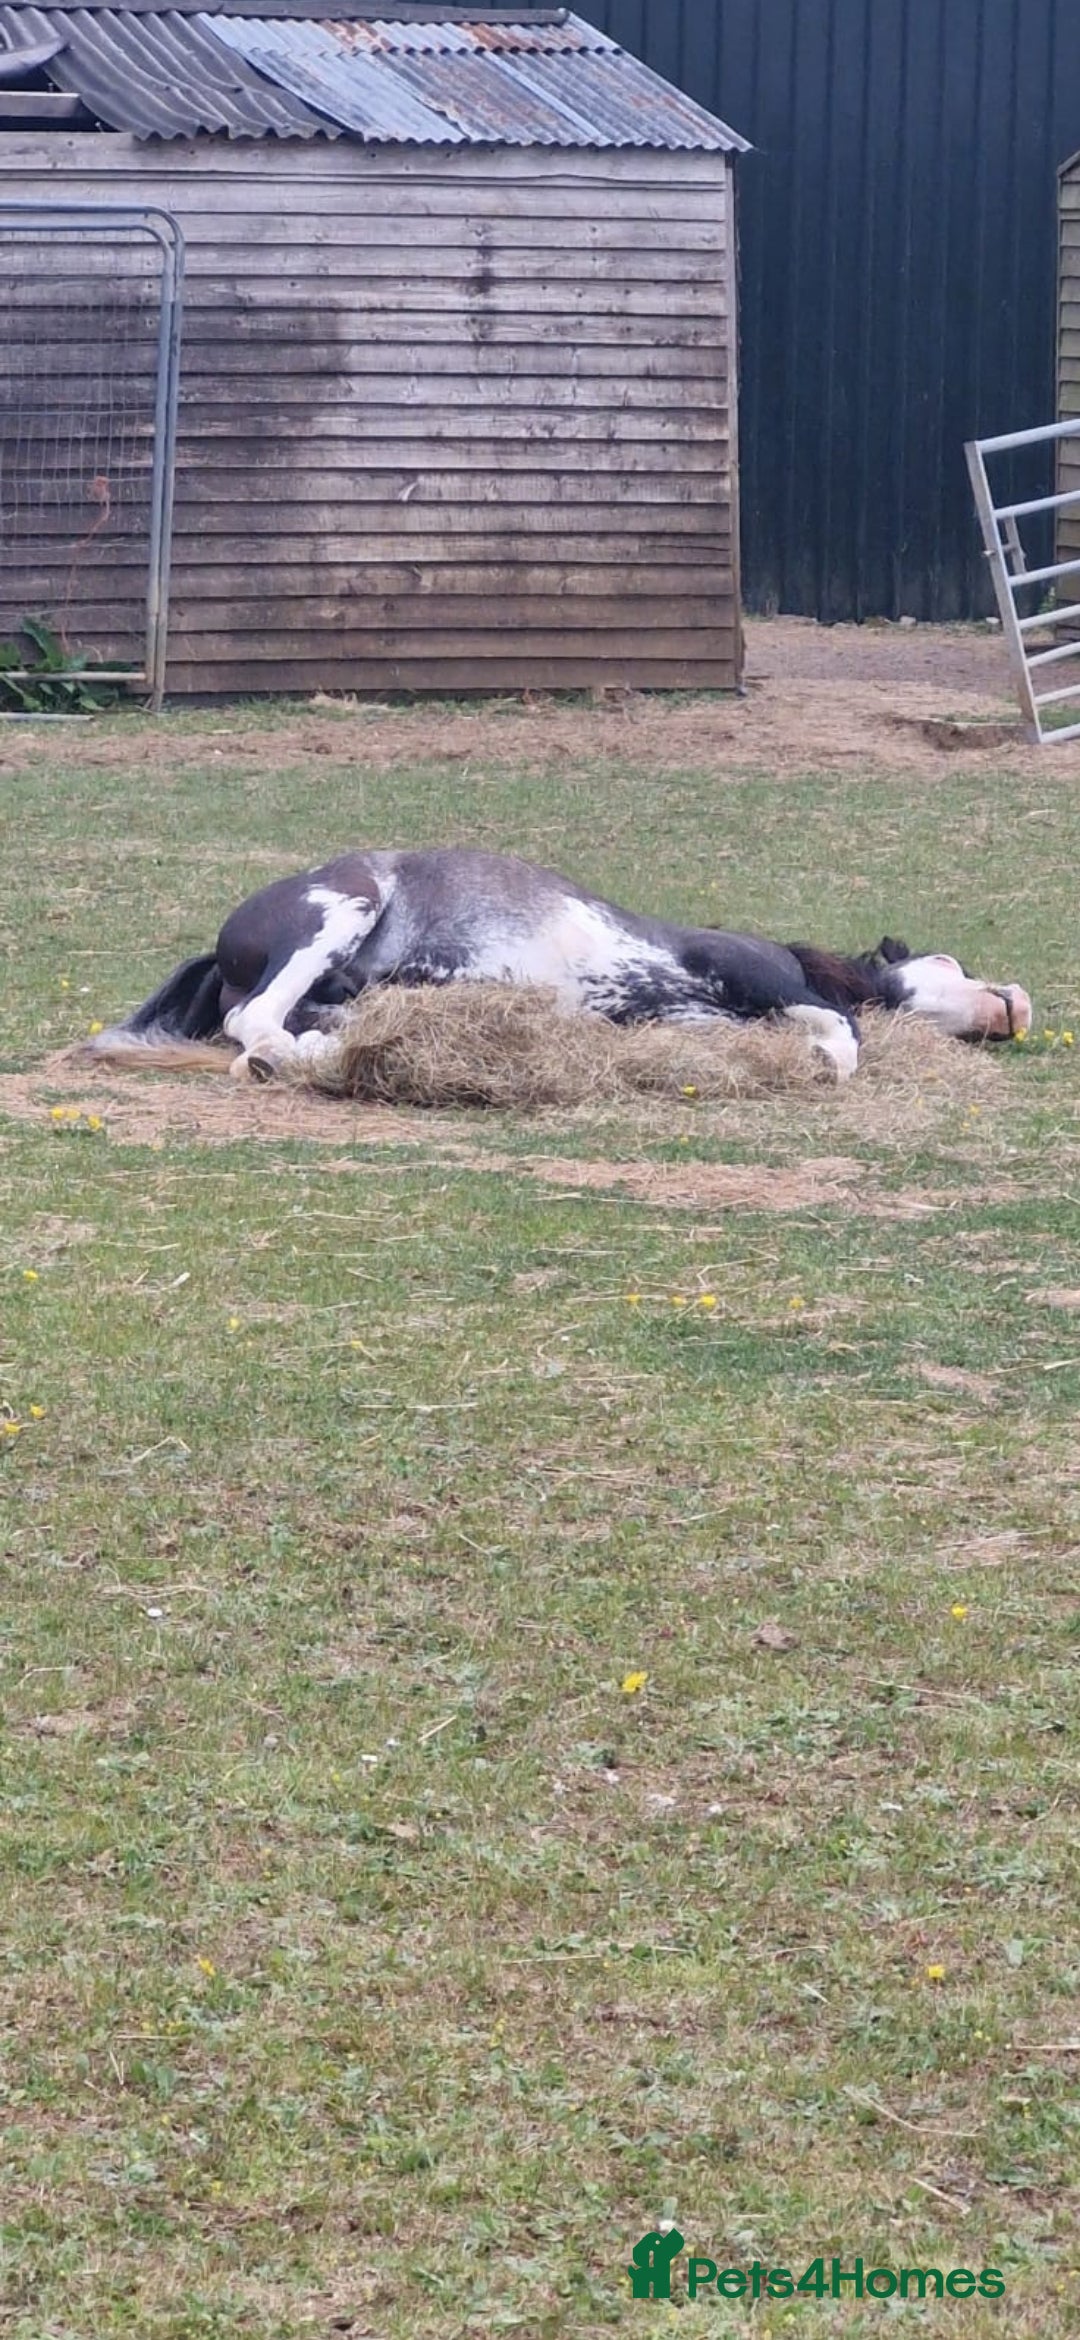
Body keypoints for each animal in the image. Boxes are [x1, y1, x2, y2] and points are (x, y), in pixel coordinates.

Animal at [83, 846, 1031, 1086]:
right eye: (948, 960)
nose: (1015, 1006)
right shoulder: (753, 976)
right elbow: (841, 1027)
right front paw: (828, 1061)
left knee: (282, 1027)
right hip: (341, 909)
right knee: (252, 1022)